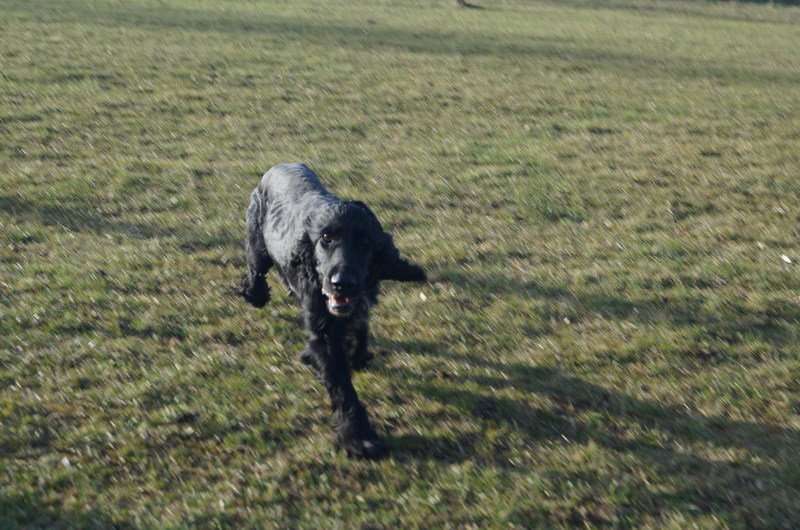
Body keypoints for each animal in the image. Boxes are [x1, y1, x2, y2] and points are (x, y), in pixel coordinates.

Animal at [239, 163, 426, 458]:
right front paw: (358, 437)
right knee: (254, 270)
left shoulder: (358, 307)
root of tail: (279, 166)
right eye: (326, 237)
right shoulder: (323, 332)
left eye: (364, 241)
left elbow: (359, 335)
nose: (342, 283)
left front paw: (355, 356)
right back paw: (254, 294)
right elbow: (341, 385)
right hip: (257, 245)